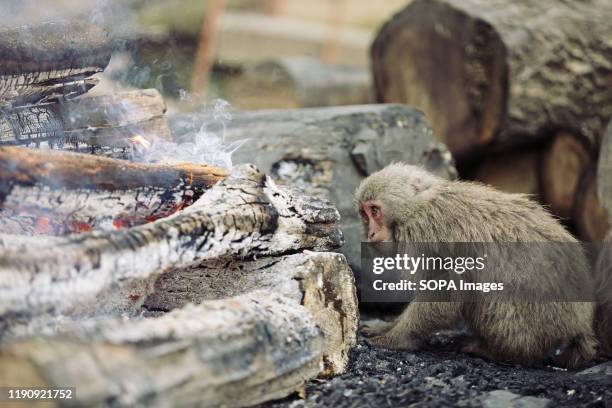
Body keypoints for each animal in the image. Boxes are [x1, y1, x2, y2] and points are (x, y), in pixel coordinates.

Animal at [356, 162, 600, 366]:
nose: (370, 233)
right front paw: (387, 325)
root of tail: (579, 322)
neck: (418, 206)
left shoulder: (425, 235)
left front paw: (396, 338)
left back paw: (502, 352)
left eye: (375, 210)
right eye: (364, 214)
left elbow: (444, 297)